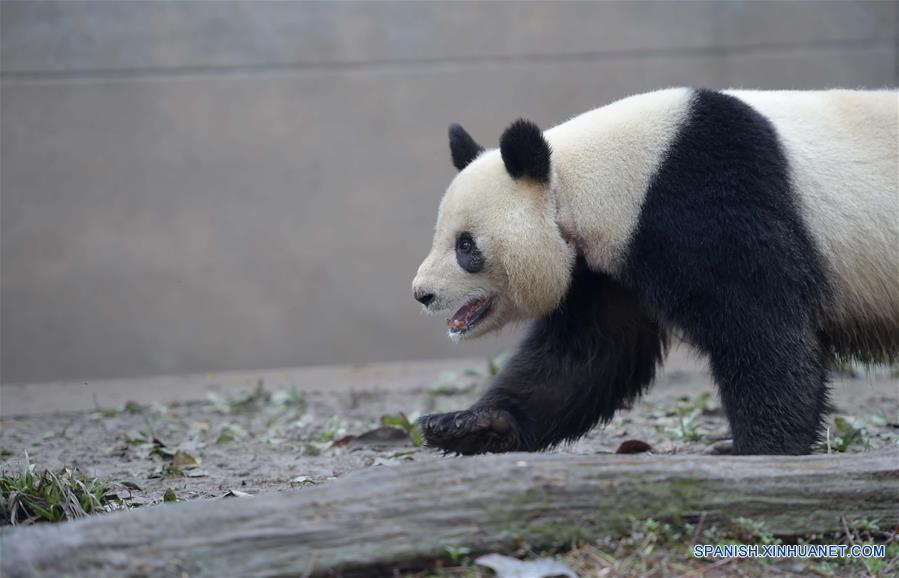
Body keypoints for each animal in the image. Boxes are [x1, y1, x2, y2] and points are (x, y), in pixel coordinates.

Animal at [412, 86, 896, 454]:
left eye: (466, 246)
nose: (422, 294)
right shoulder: (605, 269)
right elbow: (586, 355)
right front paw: (471, 423)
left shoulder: (710, 198)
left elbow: (762, 325)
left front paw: (760, 447)